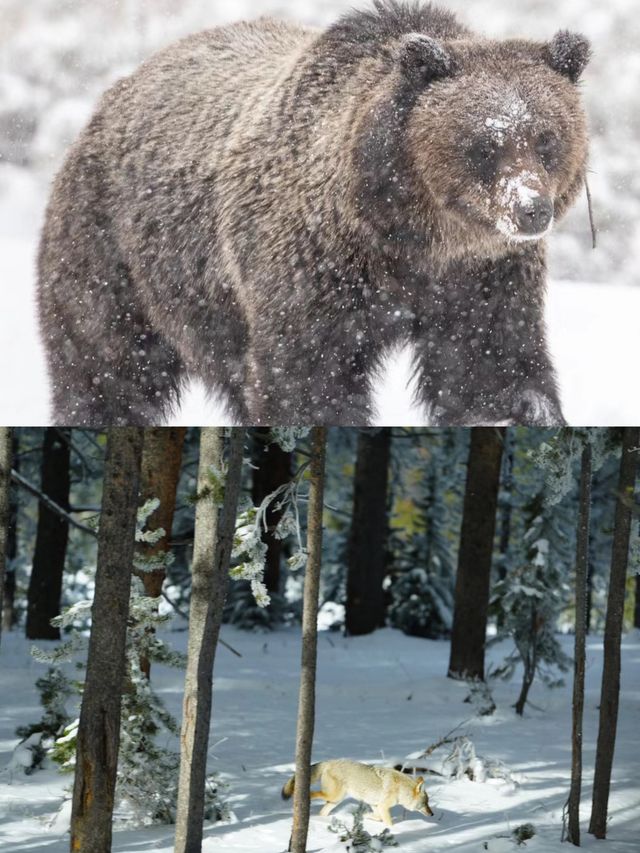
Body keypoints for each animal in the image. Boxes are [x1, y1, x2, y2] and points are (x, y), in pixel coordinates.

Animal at [38, 0, 592, 426]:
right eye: (484, 145)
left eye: (547, 139)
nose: (531, 209)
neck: (410, 238)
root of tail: (117, 89)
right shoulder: (314, 268)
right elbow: (309, 376)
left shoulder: (484, 278)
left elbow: (490, 365)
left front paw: (522, 410)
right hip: (116, 252)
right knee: (105, 362)